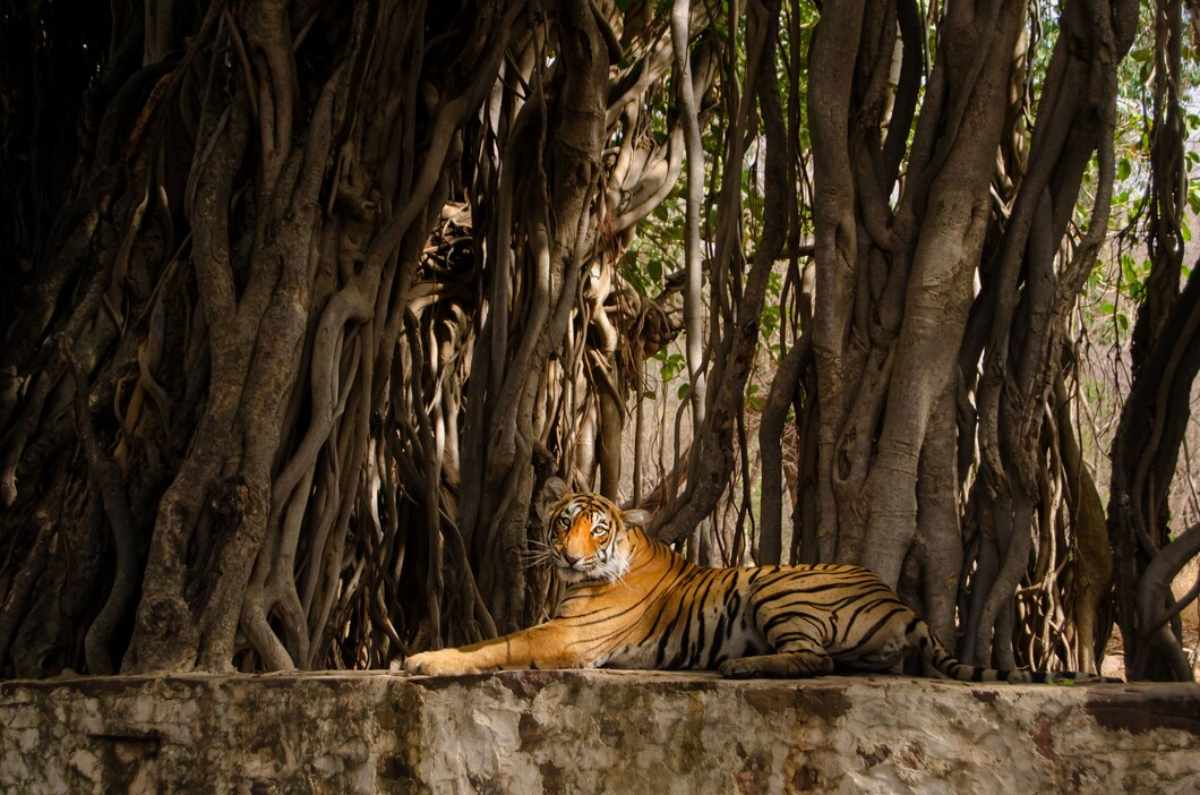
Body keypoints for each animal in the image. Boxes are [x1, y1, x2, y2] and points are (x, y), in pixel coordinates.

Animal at [408, 492, 1099, 686]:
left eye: (595, 527)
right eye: (562, 523)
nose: (568, 555)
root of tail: (904, 605)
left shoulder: (570, 638)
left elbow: (499, 645)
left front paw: (427, 661)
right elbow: (490, 640)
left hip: (779, 587)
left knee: (816, 660)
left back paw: (742, 666)